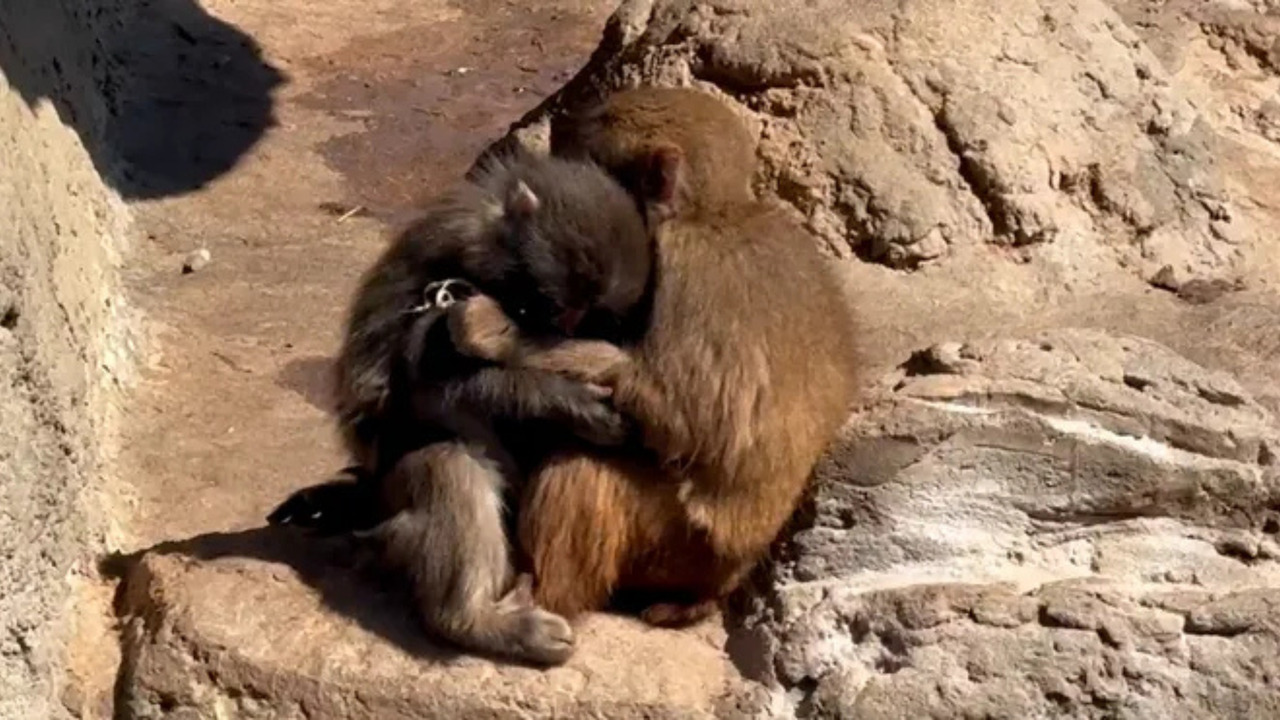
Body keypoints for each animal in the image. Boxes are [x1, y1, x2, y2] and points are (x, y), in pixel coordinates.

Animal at [268, 150, 656, 665]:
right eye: (553, 305)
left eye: (585, 316)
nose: (560, 327)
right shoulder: (446, 267)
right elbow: (422, 386)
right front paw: (569, 402)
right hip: (392, 491)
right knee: (448, 463)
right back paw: (474, 621)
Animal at [447, 86, 859, 628]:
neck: (710, 211)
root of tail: (726, 579)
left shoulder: (691, 266)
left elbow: (688, 417)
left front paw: (494, 330)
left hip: (678, 543)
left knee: (583, 472)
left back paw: (539, 601)